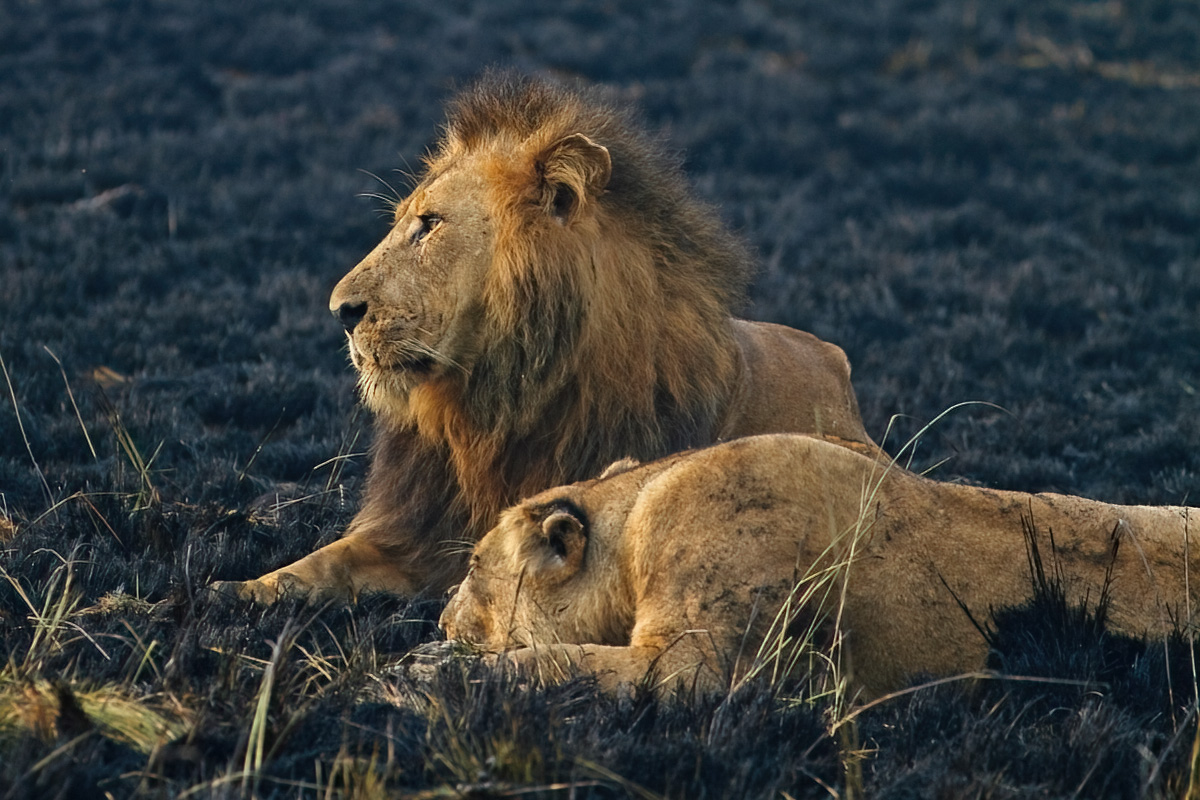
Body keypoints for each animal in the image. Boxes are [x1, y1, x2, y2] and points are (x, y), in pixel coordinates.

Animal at [213, 73, 873, 599]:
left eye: (430, 224)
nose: (341, 310)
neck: (492, 410)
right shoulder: (416, 533)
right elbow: (320, 563)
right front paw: (233, 591)